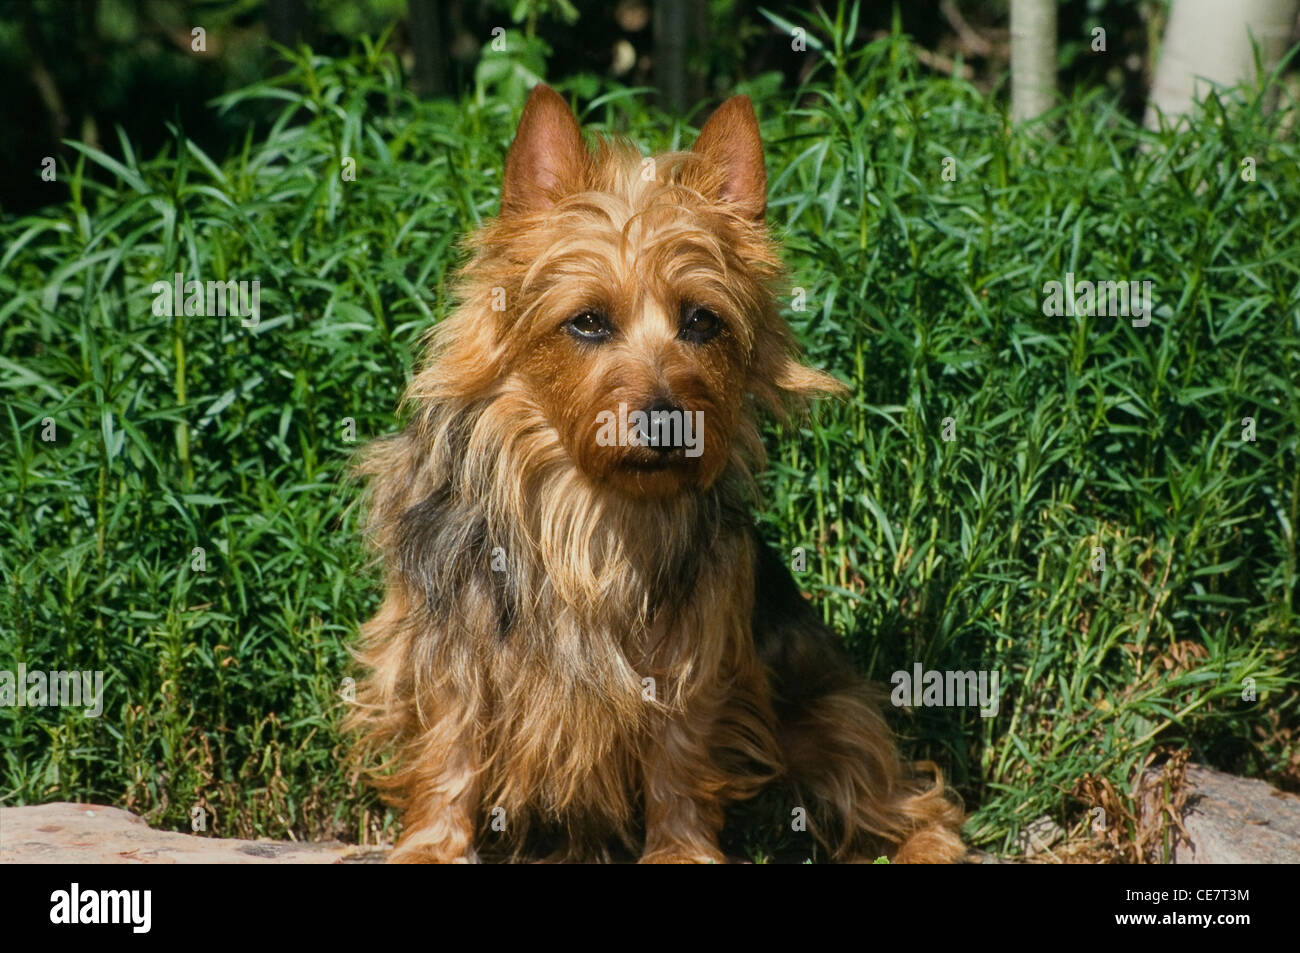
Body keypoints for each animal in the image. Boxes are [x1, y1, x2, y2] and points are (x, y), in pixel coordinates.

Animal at [351, 85, 961, 863]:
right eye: (586, 321)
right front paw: (433, 843)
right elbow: (448, 745)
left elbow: (679, 754)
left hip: (830, 719)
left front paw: (680, 849)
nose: (668, 422)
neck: (591, 512)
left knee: (907, 794)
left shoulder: (695, 650)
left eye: (702, 321)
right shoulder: (450, 641)